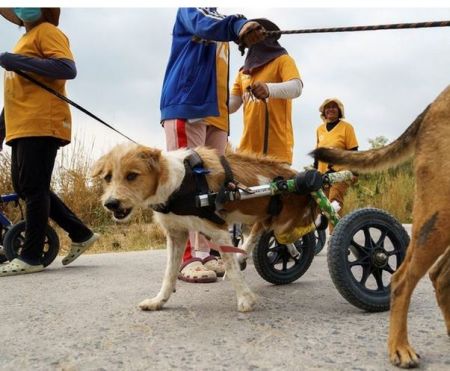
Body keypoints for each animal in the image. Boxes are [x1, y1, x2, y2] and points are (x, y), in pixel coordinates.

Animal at [91, 145, 318, 314]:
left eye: (132, 176)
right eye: (107, 177)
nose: (110, 203)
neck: (179, 183)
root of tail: (295, 175)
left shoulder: (219, 232)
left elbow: (232, 270)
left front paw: (245, 299)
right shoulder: (176, 235)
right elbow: (169, 273)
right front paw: (159, 301)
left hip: (286, 221)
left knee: (294, 235)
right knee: (260, 235)